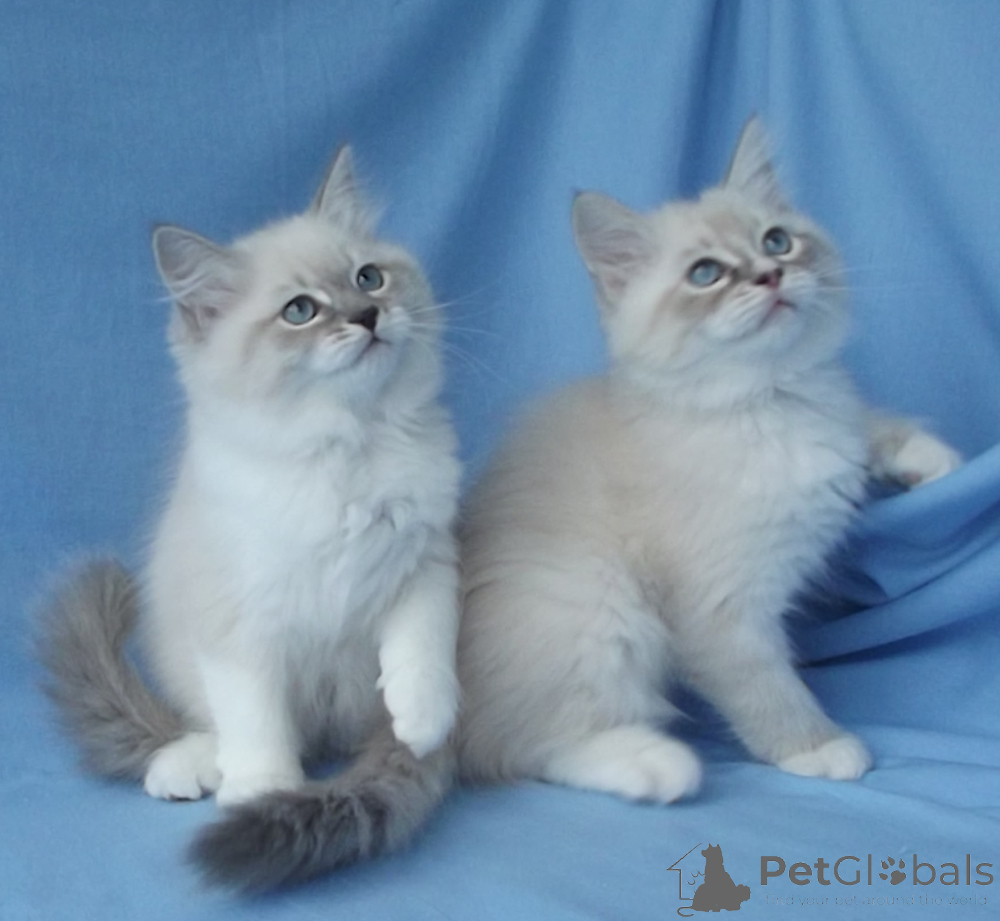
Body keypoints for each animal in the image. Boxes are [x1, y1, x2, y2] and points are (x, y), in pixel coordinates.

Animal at [36, 146, 462, 890]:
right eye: (300, 311)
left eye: (369, 277)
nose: (367, 315)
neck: (344, 445)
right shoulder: (239, 621)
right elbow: (256, 718)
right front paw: (265, 795)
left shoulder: (426, 561)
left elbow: (420, 646)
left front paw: (421, 720)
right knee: (213, 722)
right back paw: (191, 766)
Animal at [454, 118, 962, 804]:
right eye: (705, 275)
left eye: (777, 241)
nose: (769, 276)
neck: (767, 401)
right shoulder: (720, 608)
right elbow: (765, 687)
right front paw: (817, 747)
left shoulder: (839, 418)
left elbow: (868, 425)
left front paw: (932, 460)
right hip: (598, 607)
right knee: (525, 745)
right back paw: (655, 764)